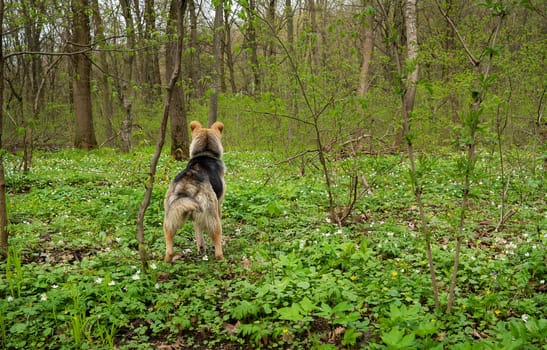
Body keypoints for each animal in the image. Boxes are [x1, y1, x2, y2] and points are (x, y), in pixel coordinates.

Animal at [163, 121, 225, 262]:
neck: (205, 153)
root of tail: (187, 185)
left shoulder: (197, 218)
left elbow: (198, 233)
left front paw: (201, 249)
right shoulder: (218, 205)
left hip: (171, 216)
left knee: (168, 245)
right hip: (213, 218)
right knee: (217, 242)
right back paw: (221, 257)